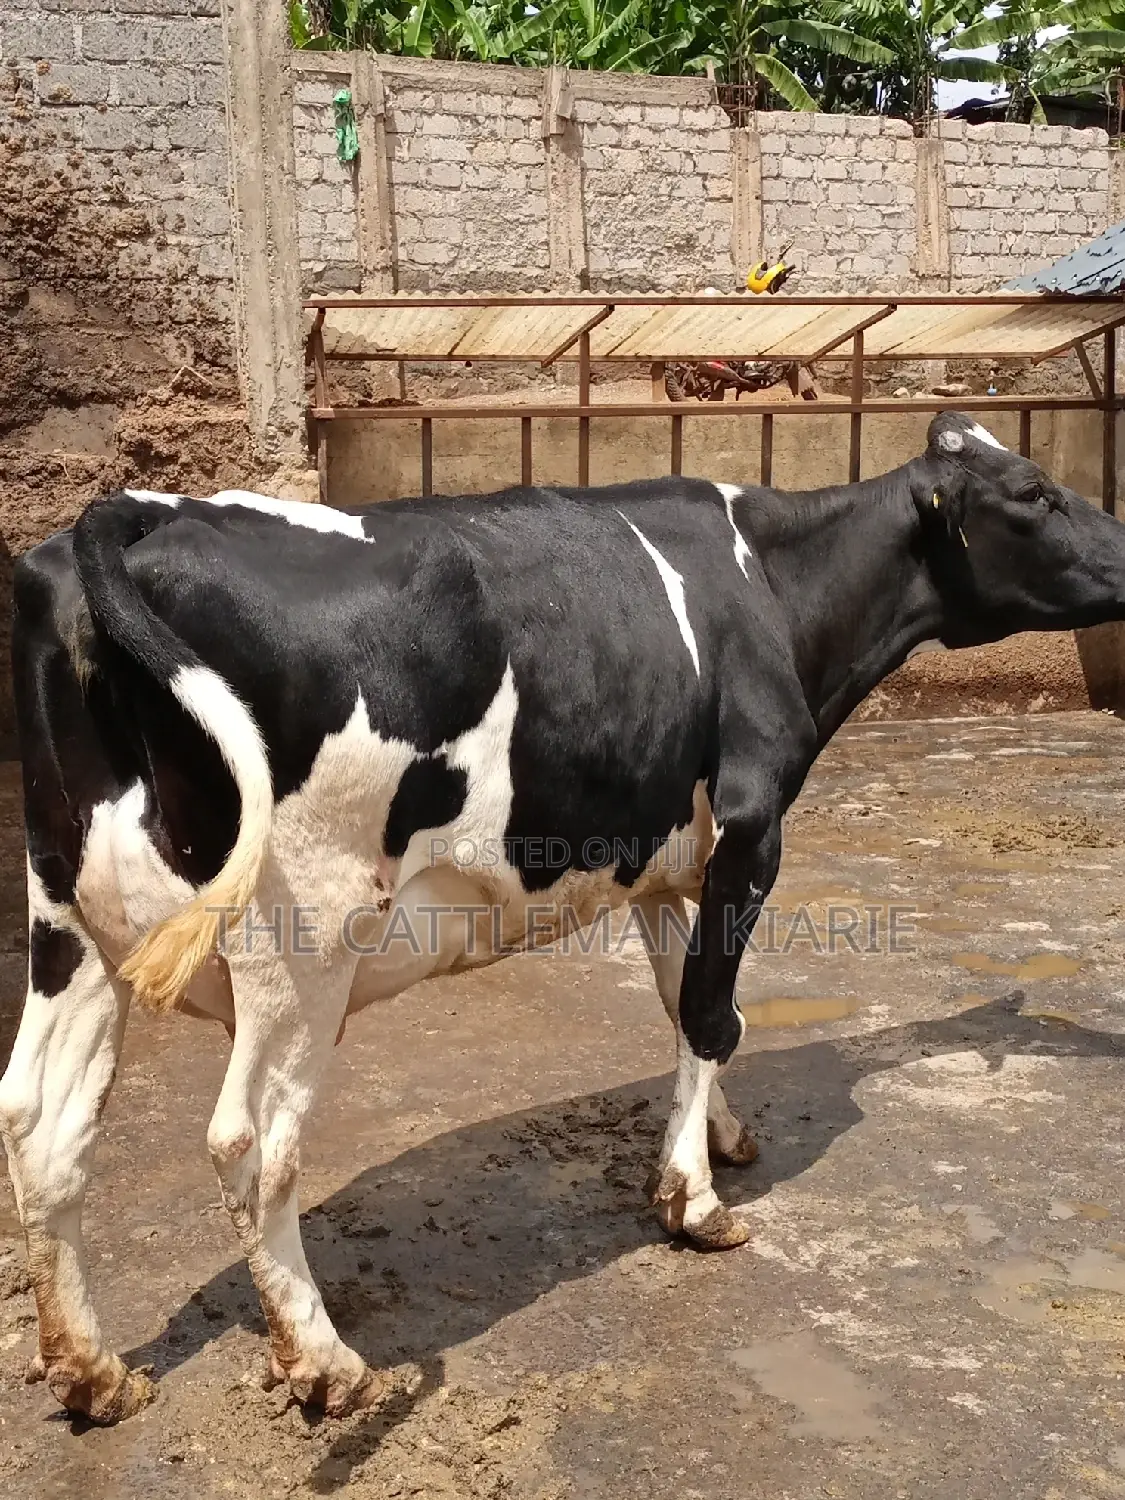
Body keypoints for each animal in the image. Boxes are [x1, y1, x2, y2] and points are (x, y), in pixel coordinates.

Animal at [3, 412, 1125, 1426]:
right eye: (1034, 493)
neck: (770, 585)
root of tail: (133, 514)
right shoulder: (754, 826)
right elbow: (711, 1015)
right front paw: (694, 1203)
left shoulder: (667, 858)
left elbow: (689, 1004)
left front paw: (719, 1136)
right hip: (301, 941)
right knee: (252, 1144)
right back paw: (327, 1365)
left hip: (72, 923)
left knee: (40, 1123)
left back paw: (93, 1373)